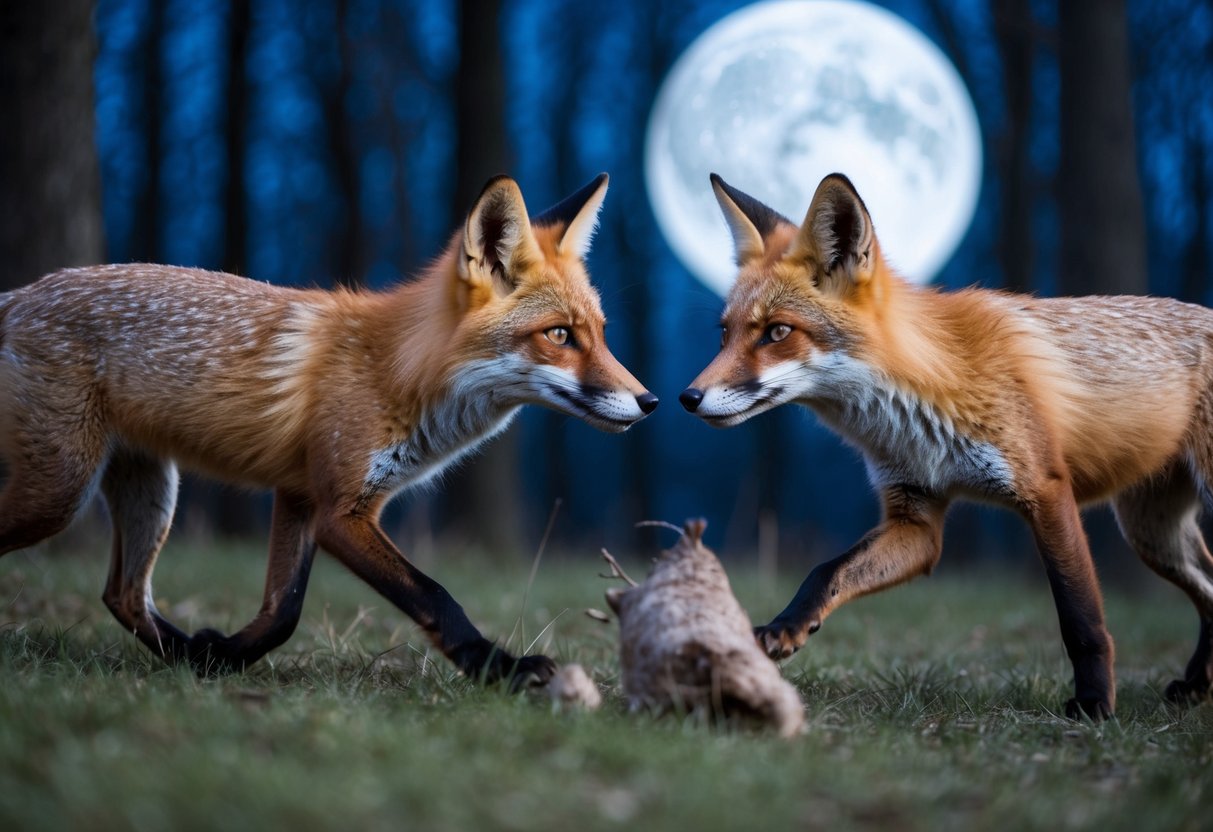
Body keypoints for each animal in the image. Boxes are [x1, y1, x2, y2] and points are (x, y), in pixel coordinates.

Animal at [0, 173, 657, 688]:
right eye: (559, 335)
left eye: (600, 332)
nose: (650, 401)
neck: (401, 372)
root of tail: (19, 295)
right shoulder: (342, 510)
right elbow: (434, 595)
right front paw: (499, 669)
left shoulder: (301, 496)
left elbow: (282, 611)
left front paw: (222, 655)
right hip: (61, 494)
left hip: (151, 491)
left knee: (122, 595)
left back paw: (186, 655)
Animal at [680, 171, 1213, 720]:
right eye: (725, 334)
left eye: (778, 331)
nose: (687, 398)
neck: (925, 395)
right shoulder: (915, 516)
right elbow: (826, 570)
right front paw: (786, 626)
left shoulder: (1045, 491)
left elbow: (1080, 618)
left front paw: (1093, 706)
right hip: (1153, 533)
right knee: (1211, 590)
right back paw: (1197, 684)